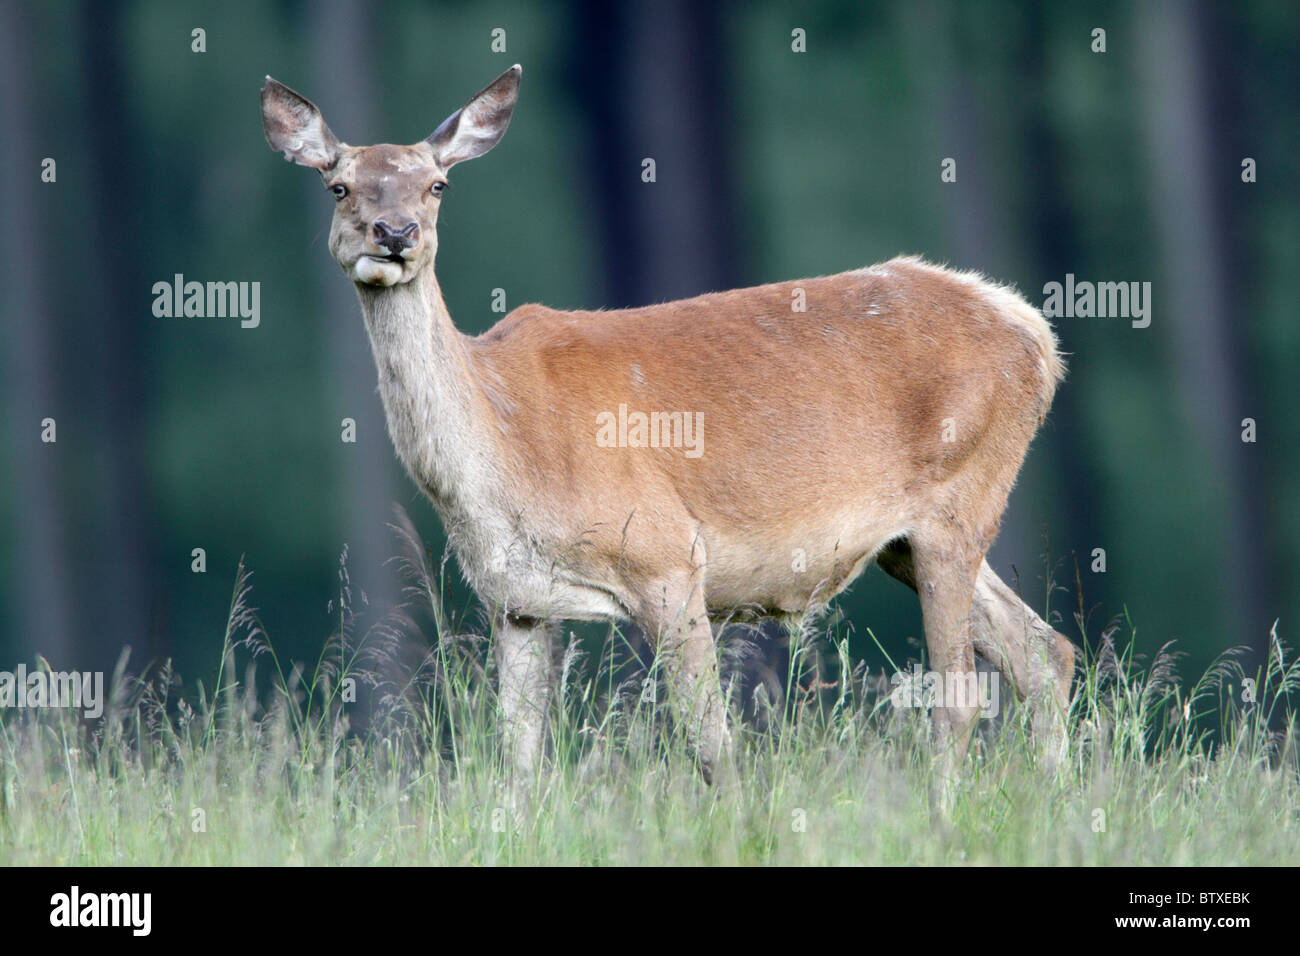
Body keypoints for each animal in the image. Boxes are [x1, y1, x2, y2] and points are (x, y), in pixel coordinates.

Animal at [261, 64, 1075, 799]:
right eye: (338, 186)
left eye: (438, 185)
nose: (394, 234)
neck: (501, 453)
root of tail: (1036, 336)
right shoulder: (515, 599)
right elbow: (518, 764)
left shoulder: (666, 555)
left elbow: (711, 742)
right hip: (907, 540)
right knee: (1044, 653)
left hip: (958, 499)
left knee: (961, 699)